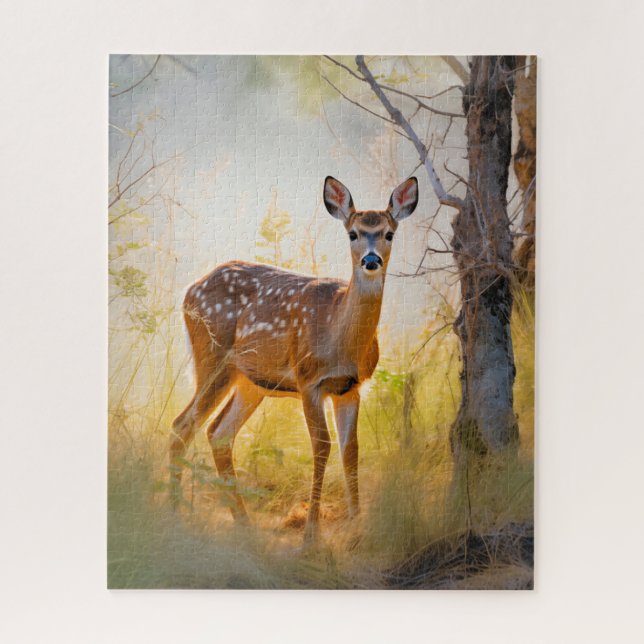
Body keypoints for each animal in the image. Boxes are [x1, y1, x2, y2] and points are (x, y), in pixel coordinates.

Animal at [169, 176, 419, 543]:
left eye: (389, 233)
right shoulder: (308, 379)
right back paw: (174, 513)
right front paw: (311, 534)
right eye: (353, 233)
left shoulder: (351, 387)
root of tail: (189, 291)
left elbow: (351, 449)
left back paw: (243, 523)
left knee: (218, 432)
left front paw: (357, 526)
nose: (371, 261)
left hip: (251, 381)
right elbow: (322, 446)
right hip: (212, 357)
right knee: (182, 425)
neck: (339, 337)